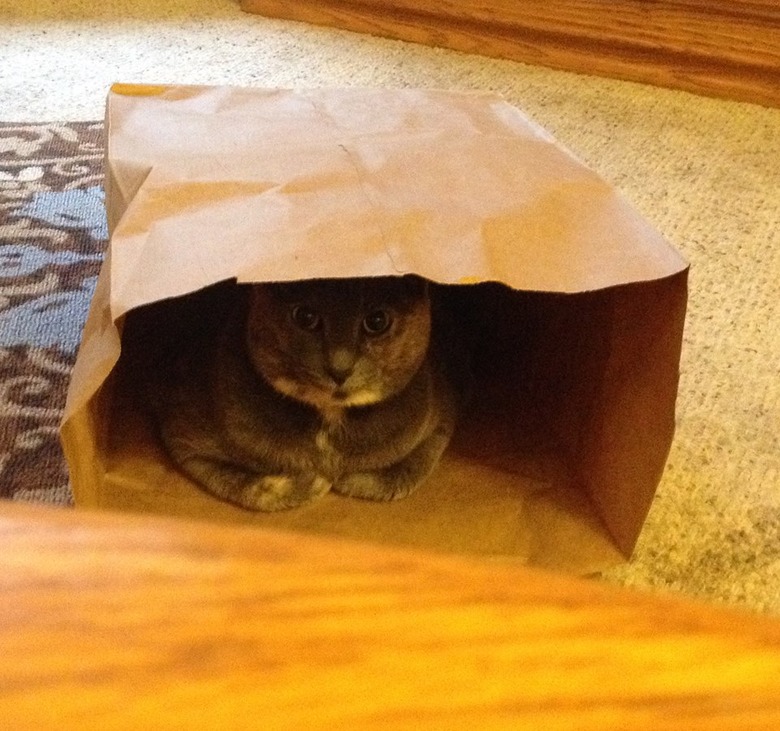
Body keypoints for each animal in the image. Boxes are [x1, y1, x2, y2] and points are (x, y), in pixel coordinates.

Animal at [141, 278, 460, 512]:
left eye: (377, 321)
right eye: (305, 317)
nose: (339, 368)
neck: (330, 418)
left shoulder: (441, 414)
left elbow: (414, 465)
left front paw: (352, 480)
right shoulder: (182, 431)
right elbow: (237, 481)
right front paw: (310, 485)